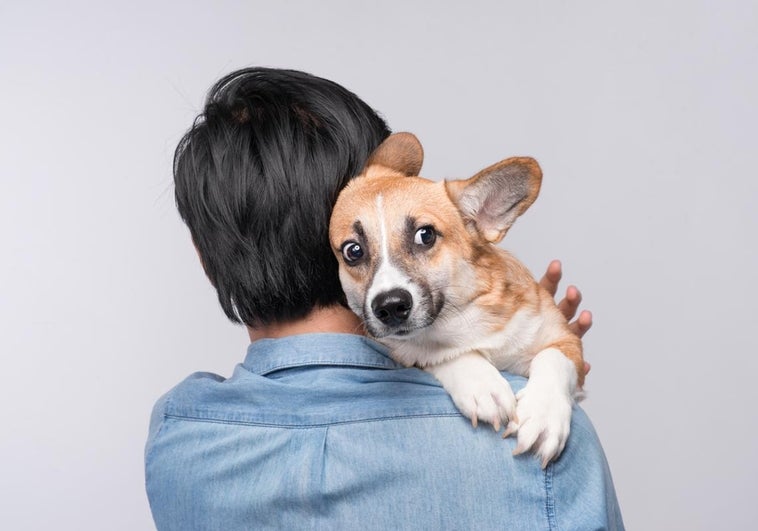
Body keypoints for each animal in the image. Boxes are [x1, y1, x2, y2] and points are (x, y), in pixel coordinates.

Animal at [332, 134, 588, 470]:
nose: (390, 307)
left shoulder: (565, 341)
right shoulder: (405, 349)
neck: (465, 320)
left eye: (425, 235)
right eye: (353, 251)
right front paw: (482, 385)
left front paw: (544, 415)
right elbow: (437, 353)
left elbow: (553, 359)